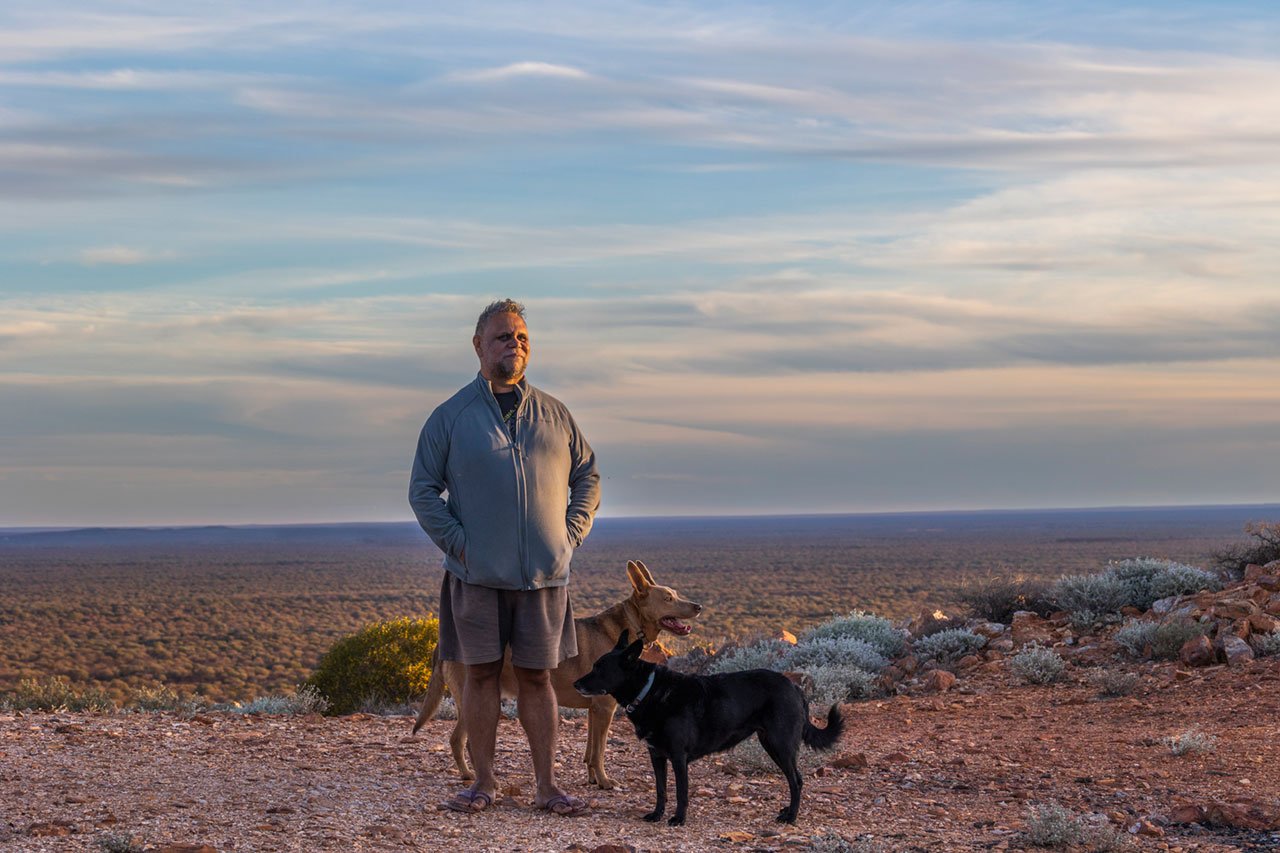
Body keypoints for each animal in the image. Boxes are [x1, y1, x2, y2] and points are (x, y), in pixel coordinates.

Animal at [412, 558, 701, 783]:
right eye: (668, 598)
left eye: (675, 594)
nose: (698, 606)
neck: (631, 626)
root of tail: (443, 642)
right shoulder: (605, 708)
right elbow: (600, 751)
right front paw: (605, 781)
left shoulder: (594, 711)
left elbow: (590, 752)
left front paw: (593, 779)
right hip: (473, 696)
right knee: (460, 740)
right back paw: (472, 776)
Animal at [576, 627, 844, 819]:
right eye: (593, 666)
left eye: (599, 669)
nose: (575, 684)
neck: (649, 690)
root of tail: (795, 687)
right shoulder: (657, 755)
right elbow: (661, 790)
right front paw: (656, 815)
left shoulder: (678, 757)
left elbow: (681, 792)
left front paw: (678, 819)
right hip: (770, 743)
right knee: (794, 780)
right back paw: (788, 812)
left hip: (781, 745)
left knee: (796, 780)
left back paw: (791, 817)